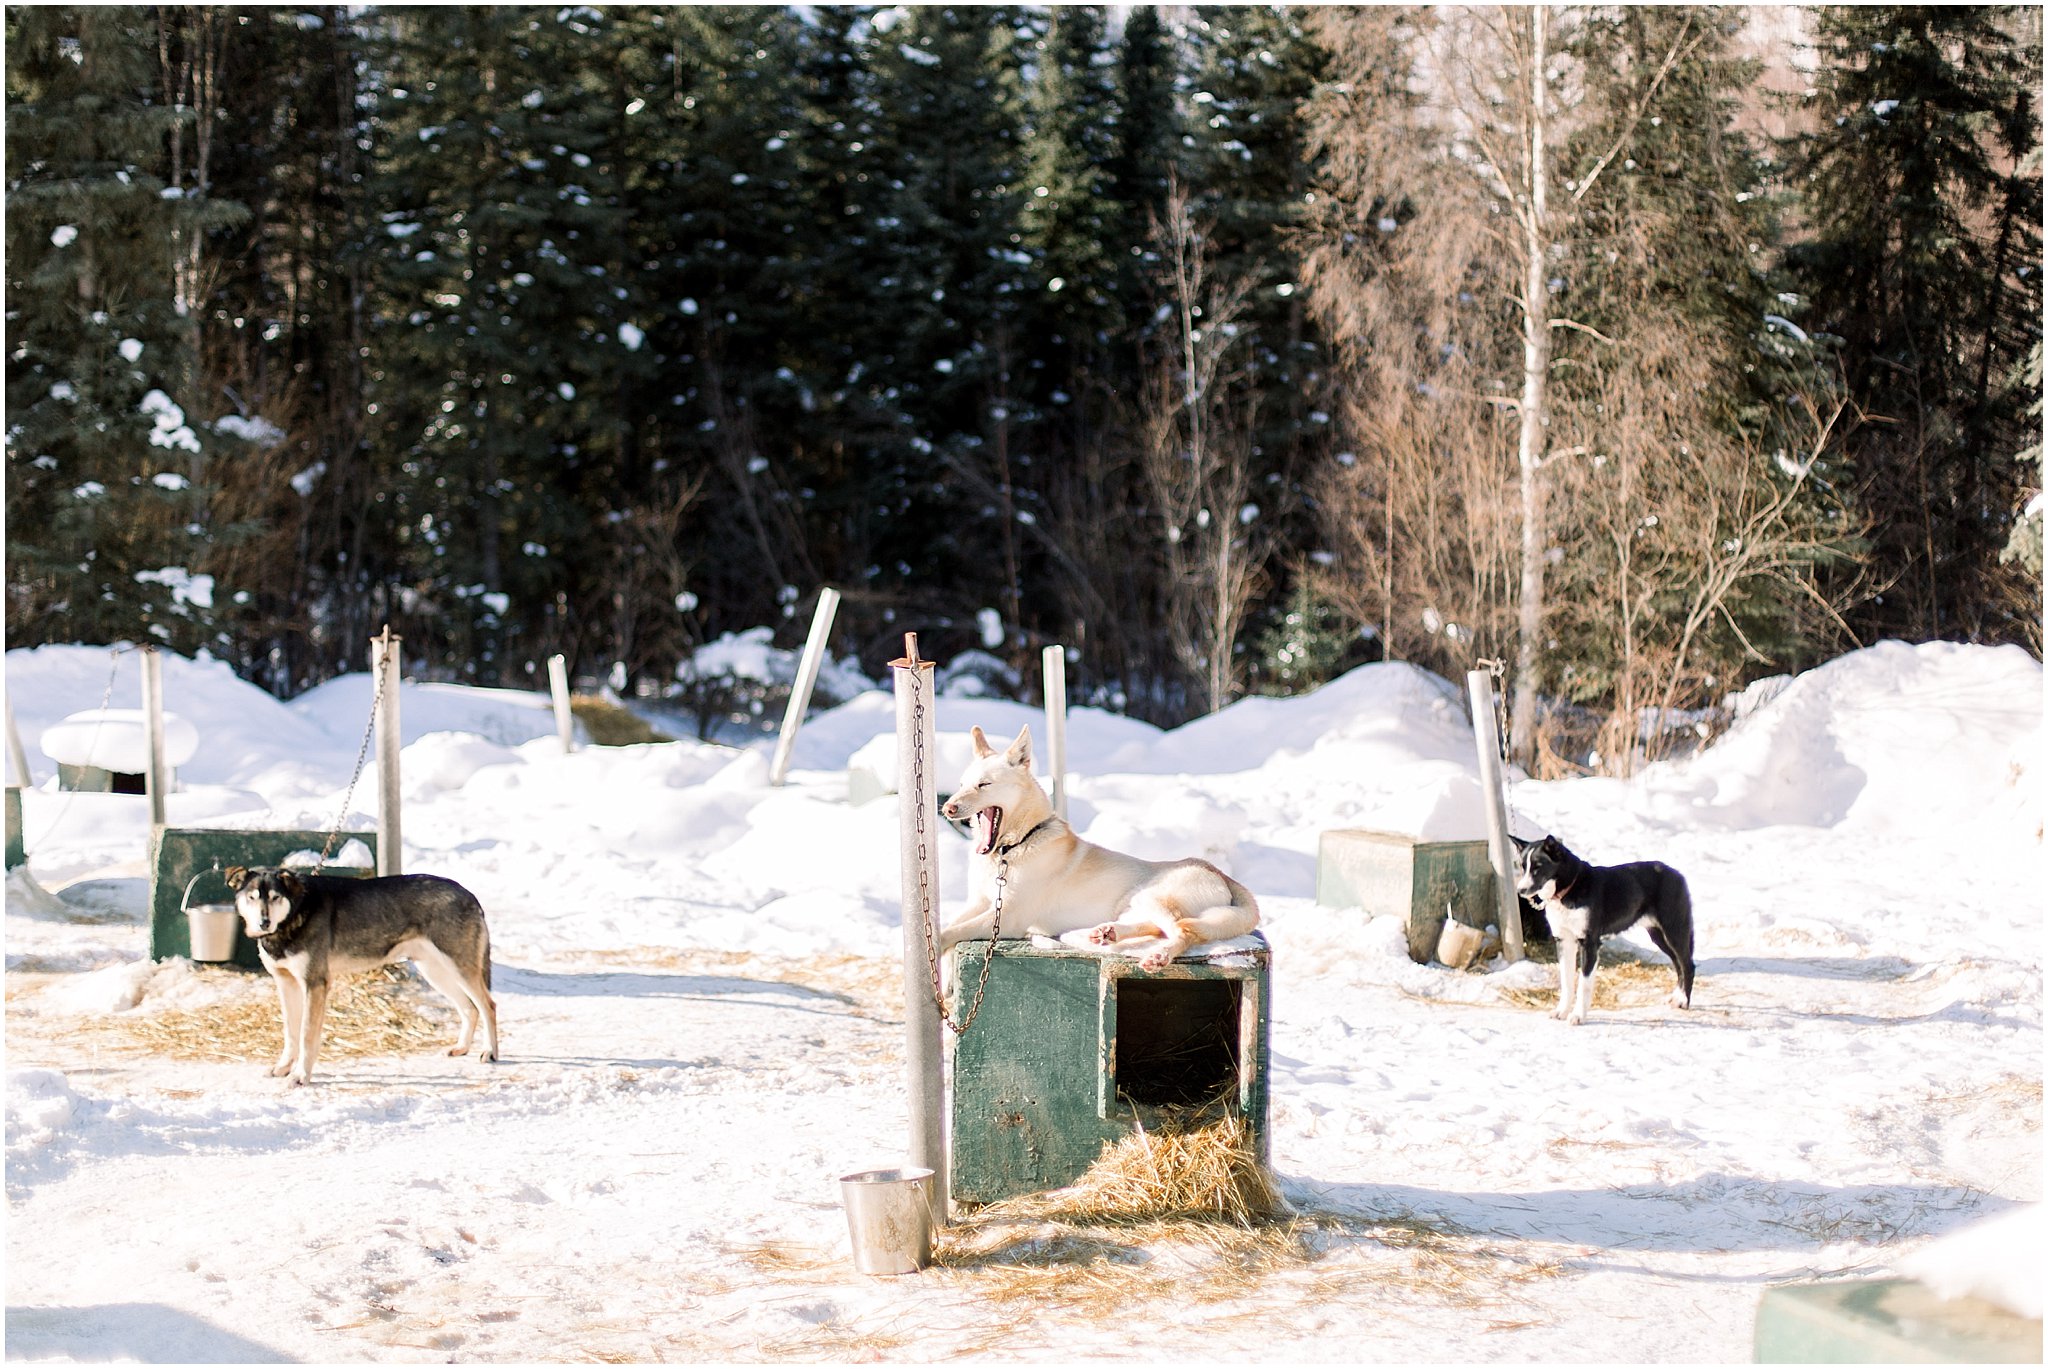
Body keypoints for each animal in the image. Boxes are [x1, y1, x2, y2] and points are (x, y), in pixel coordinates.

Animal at [223, 873, 499, 1082]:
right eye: (252, 897)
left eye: (275, 897)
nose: (264, 922)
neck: (296, 913)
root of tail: (469, 893)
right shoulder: (286, 984)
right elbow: (291, 1034)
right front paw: (283, 1068)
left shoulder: (315, 984)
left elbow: (306, 1036)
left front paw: (301, 1076)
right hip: (436, 972)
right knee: (469, 1008)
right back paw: (461, 1048)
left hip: (459, 969)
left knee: (488, 1006)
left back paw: (490, 1052)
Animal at [937, 721, 1253, 967]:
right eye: (962, 784)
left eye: (984, 785)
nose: (948, 809)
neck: (1011, 849)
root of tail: (1219, 872)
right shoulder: (979, 902)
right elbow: (950, 928)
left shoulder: (1008, 917)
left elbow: (947, 934)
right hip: (1134, 903)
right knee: (1157, 928)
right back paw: (1108, 933)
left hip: (1152, 896)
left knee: (1183, 931)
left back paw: (1159, 956)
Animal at [1507, 836, 1695, 1024]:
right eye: (1522, 866)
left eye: (1538, 867)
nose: (1520, 890)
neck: (1569, 889)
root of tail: (1678, 875)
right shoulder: (1564, 941)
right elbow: (1566, 982)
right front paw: (1562, 1011)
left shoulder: (1589, 943)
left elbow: (1583, 984)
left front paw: (1578, 1016)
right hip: (1658, 935)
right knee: (1678, 964)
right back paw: (1676, 997)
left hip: (1674, 931)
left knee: (1687, 965)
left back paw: (1683, 1001)